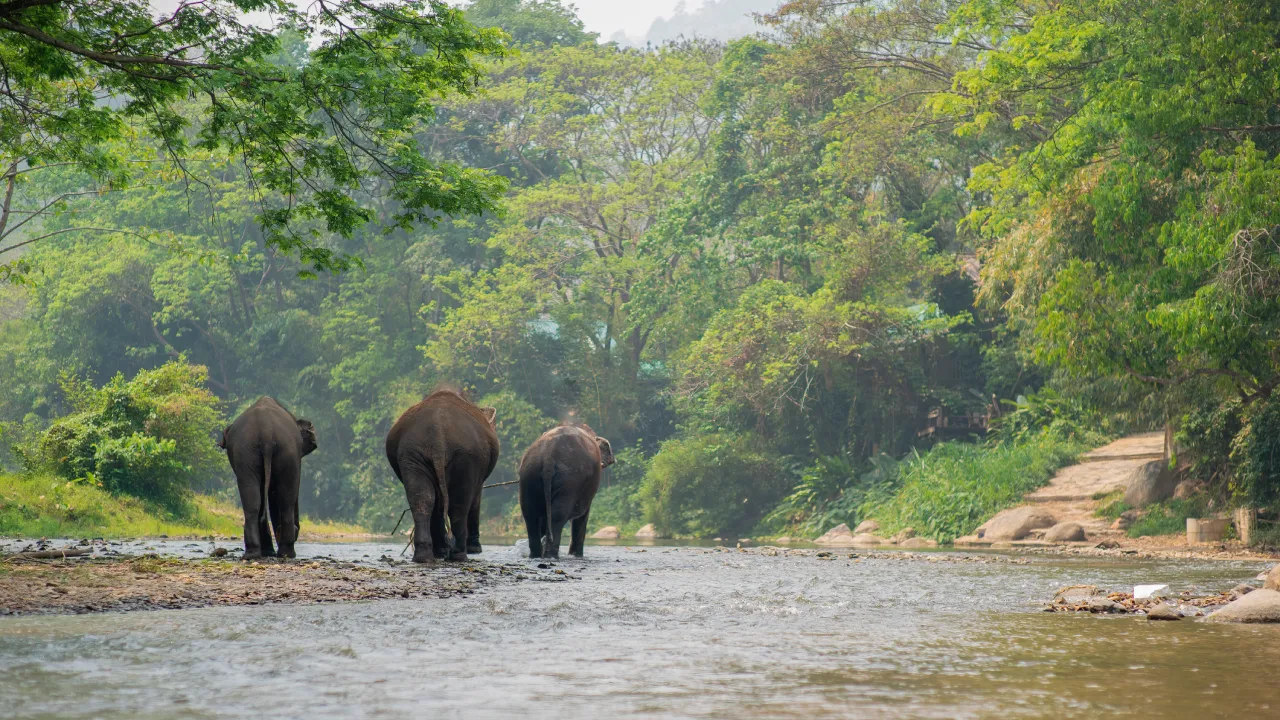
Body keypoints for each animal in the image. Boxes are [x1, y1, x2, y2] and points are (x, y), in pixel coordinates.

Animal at [219, 397, 317, 559]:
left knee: (253, 499)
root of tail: (265, 432)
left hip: (247, 453)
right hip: (284, 452)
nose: (298, 528)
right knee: (285, 499)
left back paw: (254, 553)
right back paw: (286, 553)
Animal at [385, 389, 499, 563]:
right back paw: (458, 555)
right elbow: (475, 498)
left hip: (413, 454)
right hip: (466, 456)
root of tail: (438, 434)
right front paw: (475, 549)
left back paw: (425, 556)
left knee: (422, 498)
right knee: (459, 504)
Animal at [518, 424, 614, 559]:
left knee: (530, 514)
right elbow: (583, 516)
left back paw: (536, 555)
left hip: (529, 474)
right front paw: (576, 555)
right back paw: (551, 555)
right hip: (570, 480)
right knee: (557, 516)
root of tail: (549, 455)